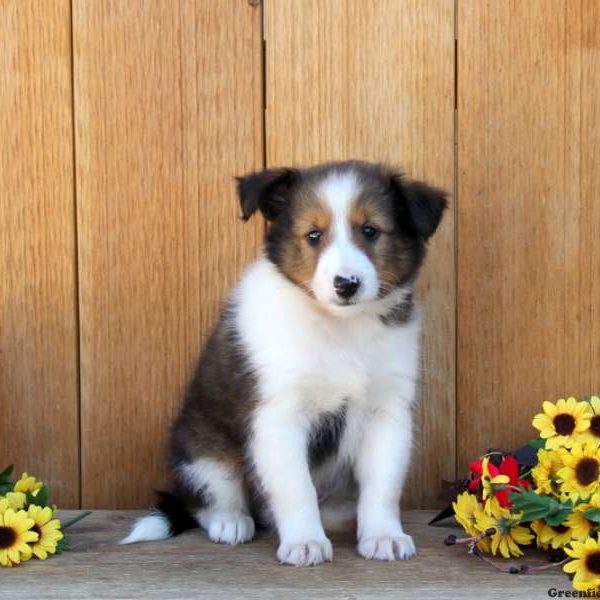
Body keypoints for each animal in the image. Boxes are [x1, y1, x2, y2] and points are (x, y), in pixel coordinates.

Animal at [122, 161, 446, 568]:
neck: (340, 327)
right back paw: (231, 522)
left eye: (371, 231)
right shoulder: (278, 415)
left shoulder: (386, 411)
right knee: (211, 497)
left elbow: (382, 485)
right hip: (202, 449)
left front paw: (383, 536)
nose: (346, 284)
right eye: (313, 235)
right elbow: (296, 488)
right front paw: (305, 543)